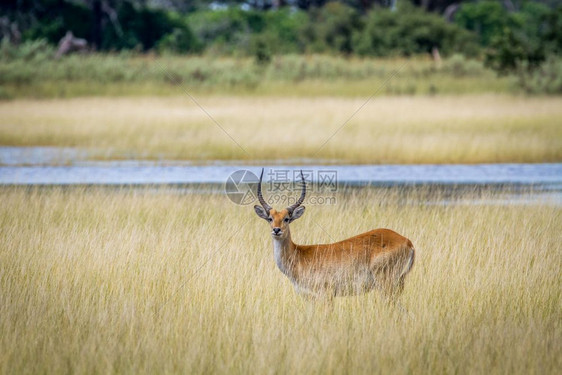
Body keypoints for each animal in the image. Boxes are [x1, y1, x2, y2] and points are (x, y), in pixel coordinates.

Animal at [252, 170, 414, 300]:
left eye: (286, 218)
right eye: (270, 218)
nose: (276, 230)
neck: (298, 255)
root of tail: (408, 242)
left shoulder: (327, 295)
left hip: (387, 285)